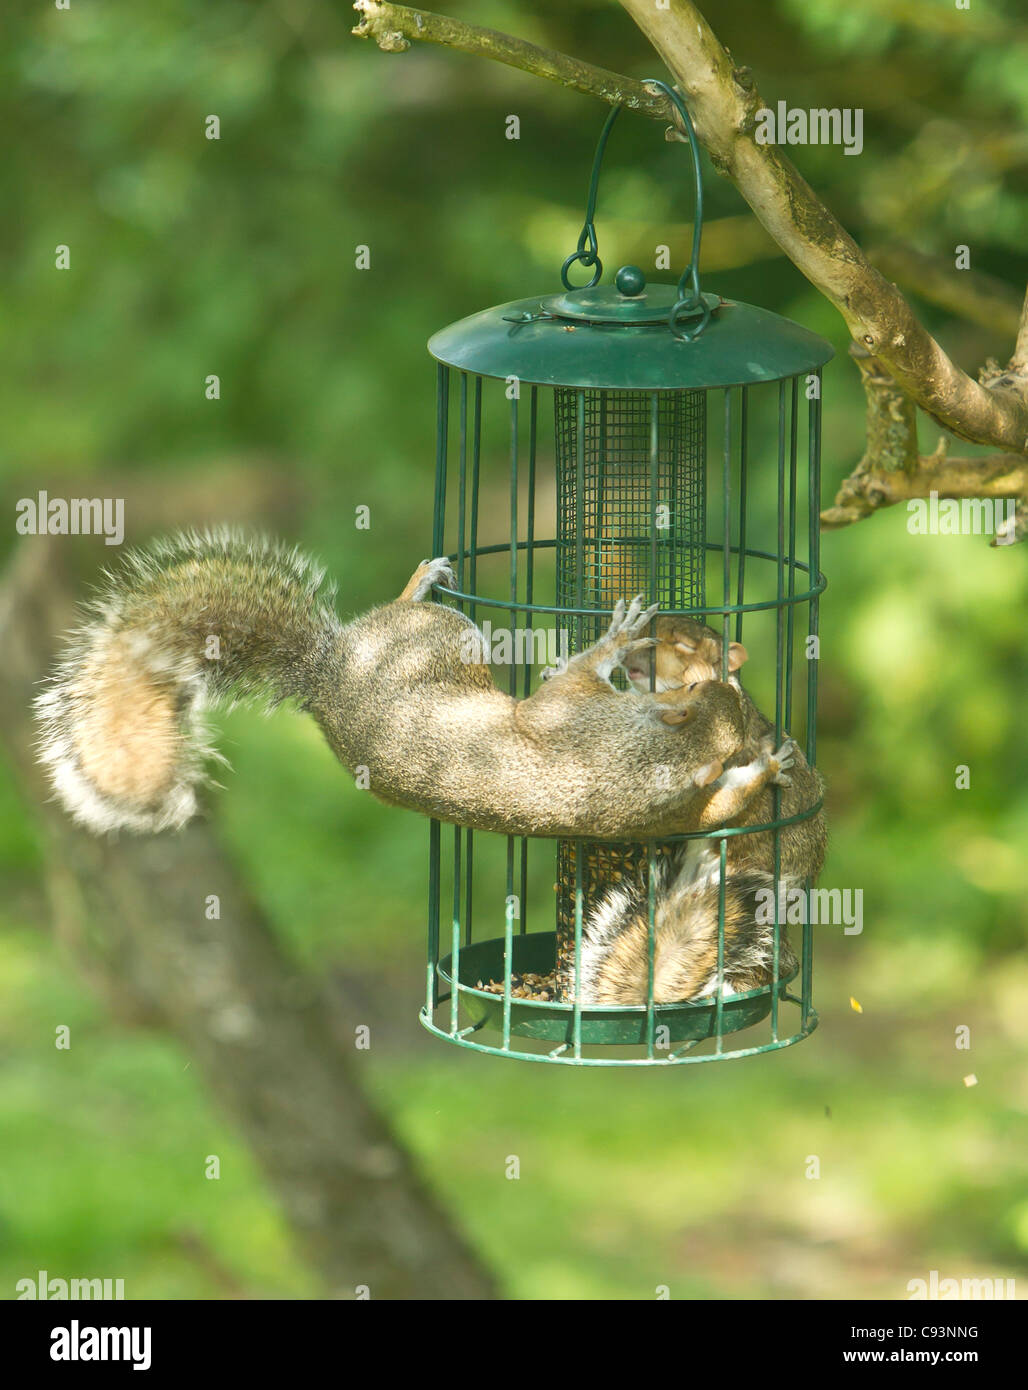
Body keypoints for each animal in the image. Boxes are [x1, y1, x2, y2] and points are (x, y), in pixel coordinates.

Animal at [34, 530, 797, 843]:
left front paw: (769, 768)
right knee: (411, 605)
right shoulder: (568, 716)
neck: (649, 760)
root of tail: (329, 671)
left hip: (444, 640)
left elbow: (719, 807)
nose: (755, 722)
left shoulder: (670, 807)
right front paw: (618, 635)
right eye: (696, 695)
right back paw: (423, 576)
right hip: (448, 636)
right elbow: (568, 681)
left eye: (723, 703)